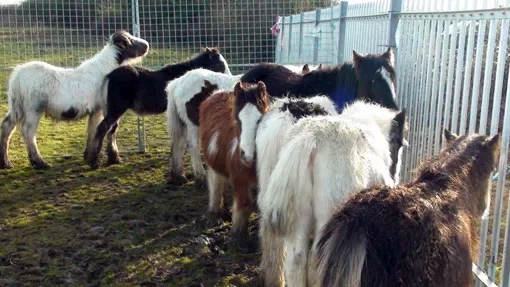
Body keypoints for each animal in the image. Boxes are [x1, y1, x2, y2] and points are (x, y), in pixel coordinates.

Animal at [85, 47, 231, 169]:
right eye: (220, 64)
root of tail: (109, 76)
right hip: (116, 109)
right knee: (103, 128)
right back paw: (93, 162)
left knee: (112, 130)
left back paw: (114, 159)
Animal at [198, 80, 270, 248]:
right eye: (237, 120)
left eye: (260, 120)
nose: (248, 155)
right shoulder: (239, 178)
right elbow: (244, 204)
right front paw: (238, 238)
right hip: (212, 165)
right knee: (216, 185)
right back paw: (215, 213)